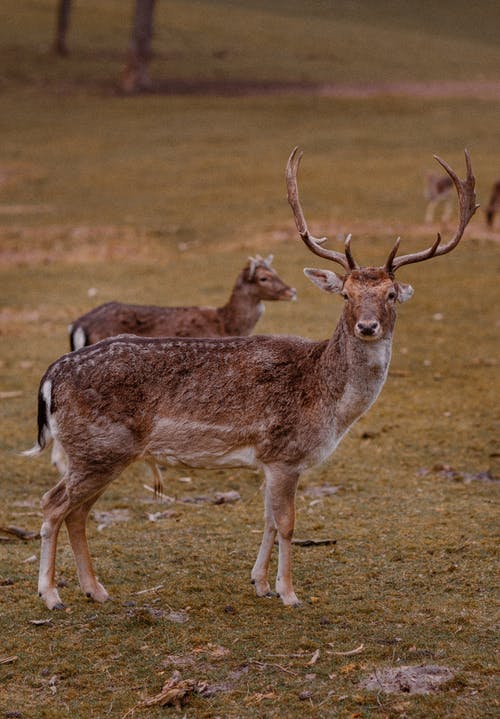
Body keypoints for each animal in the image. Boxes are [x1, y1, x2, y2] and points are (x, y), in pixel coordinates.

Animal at [24, 149, 476, 612]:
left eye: (390, 294)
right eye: (346, 294)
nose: (367, 326)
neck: (329, 404)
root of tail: (51, 375)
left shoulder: (269, 460)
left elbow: (268, 520)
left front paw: (259, 582)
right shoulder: (285, 454)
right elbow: (288, 523)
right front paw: (289, 593)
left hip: (100, 453)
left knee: (77, 512)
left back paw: (95, 590)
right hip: (98, 447)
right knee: (53, 504)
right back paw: (51, 594)